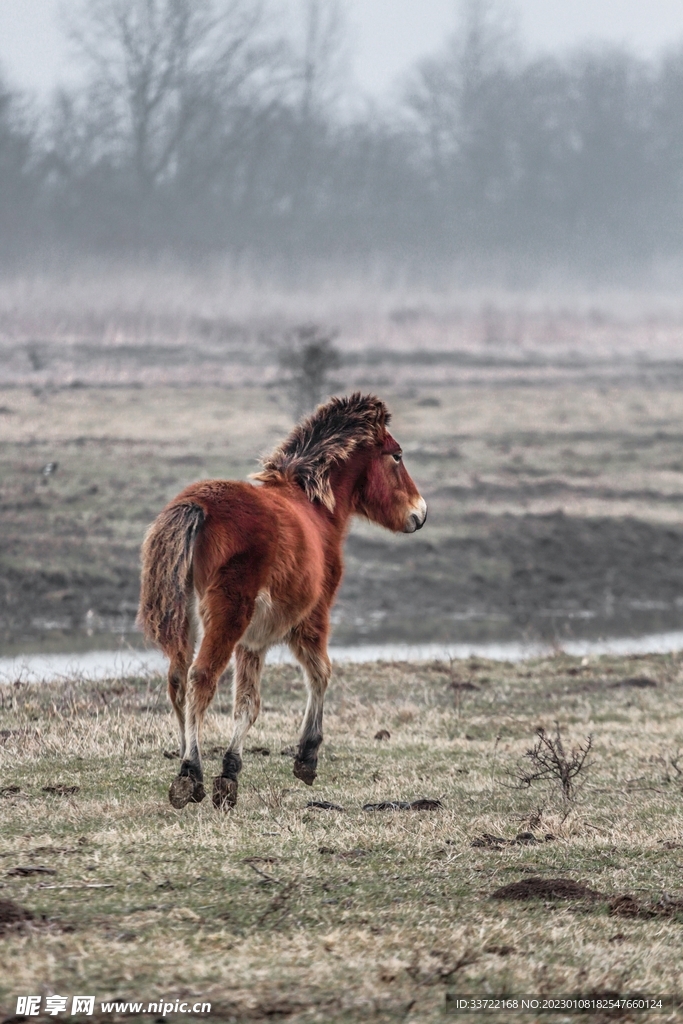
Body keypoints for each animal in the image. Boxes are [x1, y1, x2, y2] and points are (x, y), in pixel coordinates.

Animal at [137, 393, 427, 811]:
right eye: (397, 455)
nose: (420, 513)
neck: (315, 508)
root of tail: (197, 505)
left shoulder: (253, 641)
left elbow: (247, 704)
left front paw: (229, 774)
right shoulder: (310, 619)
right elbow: (320, 673)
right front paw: (307, 756)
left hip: (188, 620)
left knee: (177, 682)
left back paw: (189, 766)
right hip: (227, 617)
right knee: (201, 679)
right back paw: (190, 773)